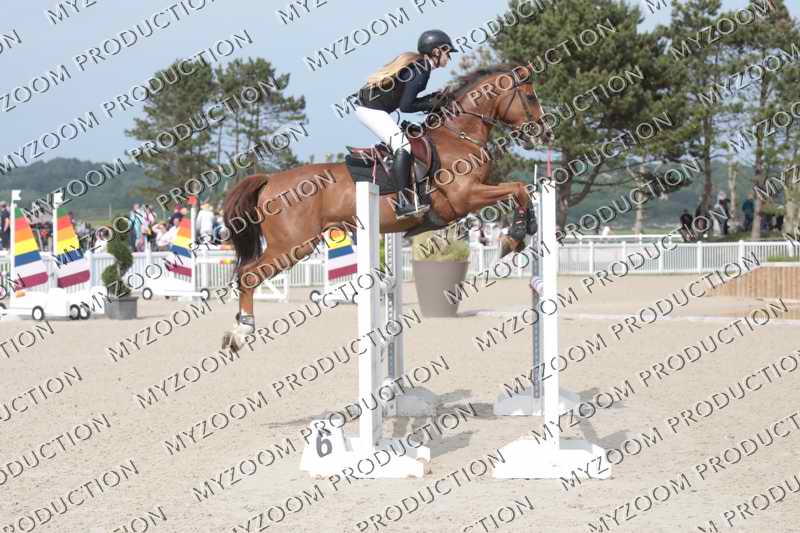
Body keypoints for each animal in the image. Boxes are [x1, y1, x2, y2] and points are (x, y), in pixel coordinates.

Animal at [220, 64, 552, 350]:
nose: (545, 132)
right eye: (531, 96)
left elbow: (519, 190)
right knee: (248, 274)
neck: (459, 136)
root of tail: (270, 179)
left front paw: (524, 229)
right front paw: (515, 236)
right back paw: (241, 330)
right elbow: (518, 189)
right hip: (293, 245)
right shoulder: (465, 197)